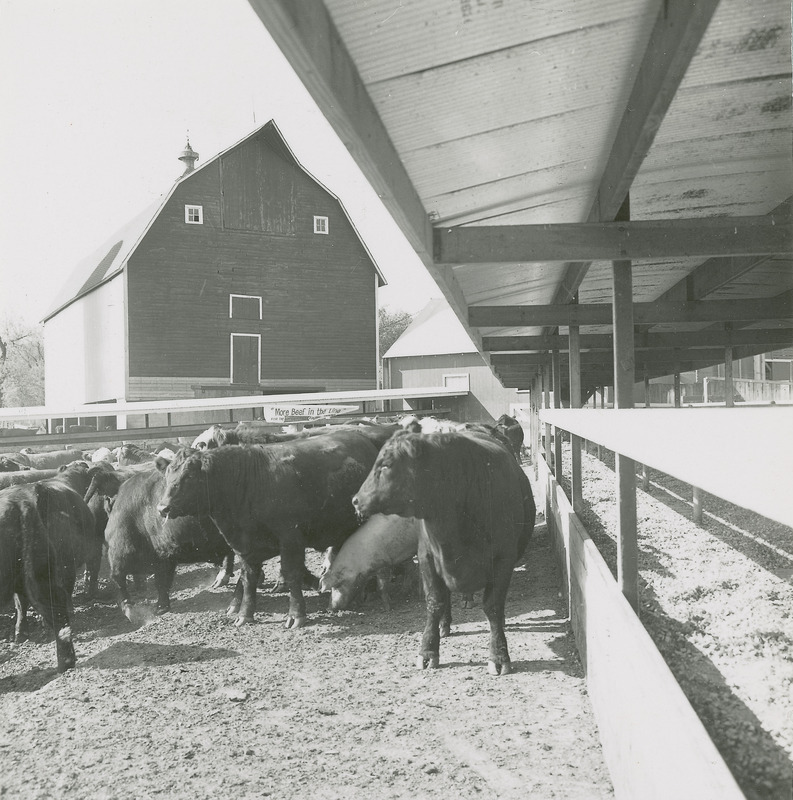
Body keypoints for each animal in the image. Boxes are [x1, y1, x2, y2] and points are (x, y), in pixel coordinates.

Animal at [158, 428, 380, 628]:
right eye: (168, 475)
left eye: (188, 476)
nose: (162, 507)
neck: (249, 481)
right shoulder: (244, 545)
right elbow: (248, 577)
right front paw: (244, 614)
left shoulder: (290, 537)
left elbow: (291, 573)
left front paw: (296, 614)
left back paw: (369, 591)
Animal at [352, 432, 532, 676]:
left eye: (386, 464)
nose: (355, 500)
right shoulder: (427, 558)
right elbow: (435, 602)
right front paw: (428, 651)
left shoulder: (504, 560)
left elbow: (493, 607)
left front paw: (499, 654)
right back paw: (444, 625)